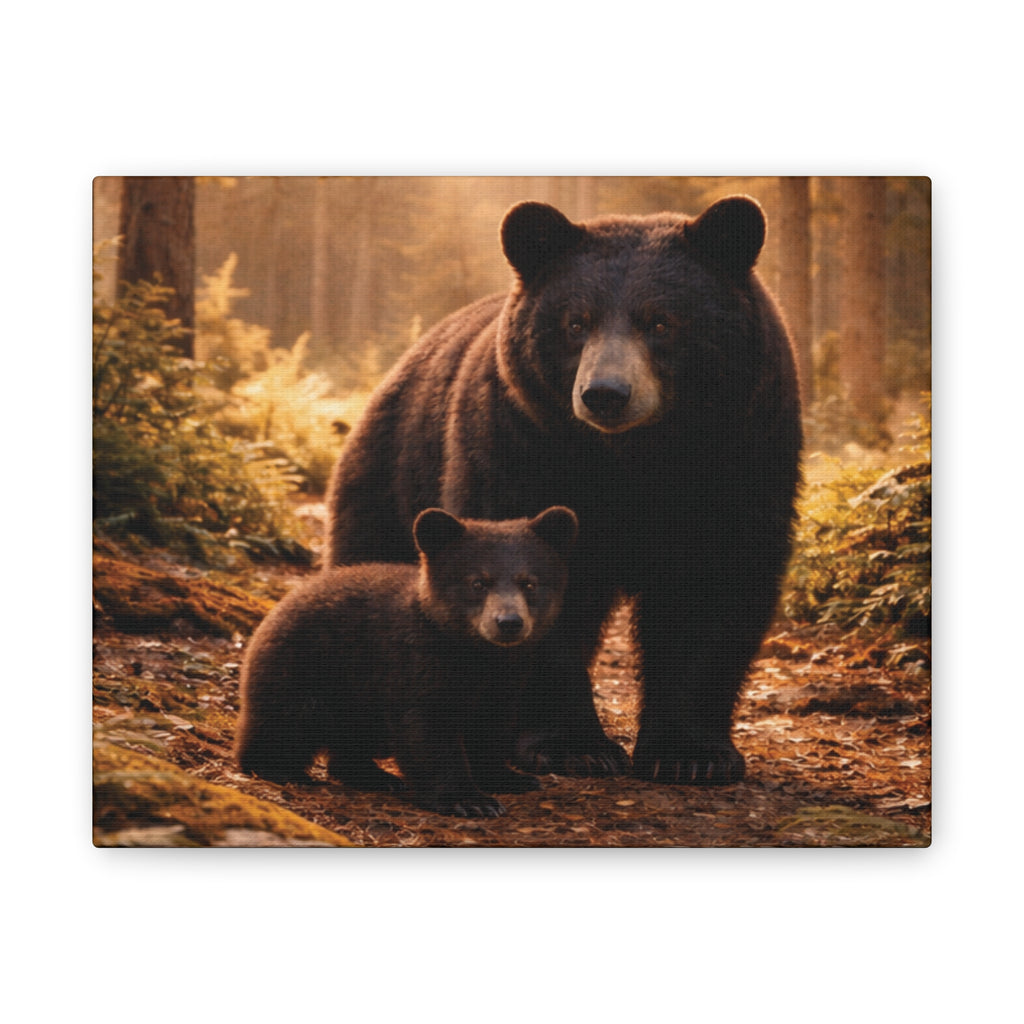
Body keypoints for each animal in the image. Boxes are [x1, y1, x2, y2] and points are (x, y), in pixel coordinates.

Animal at [235, 505, 578, 817]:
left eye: (529, 582)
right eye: (478, 582)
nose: (508, 622)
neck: (474, 653)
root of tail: (279, 605)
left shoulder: (505, 679)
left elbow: (491, 726)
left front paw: (510, 778)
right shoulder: (415, 665)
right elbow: (427, 731)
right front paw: (469, 800)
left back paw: (375, 776)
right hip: (306, 670)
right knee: (285, 724)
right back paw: (280, 769)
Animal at [325, 195, 802, 786]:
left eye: (661, 321)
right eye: (577, 321)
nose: (606, 394)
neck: (635, 459)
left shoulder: (741, 457)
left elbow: (713, 588)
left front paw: (692, 754)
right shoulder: (521, 448)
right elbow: (534, 582)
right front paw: (572, 746)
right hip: (393, 475)